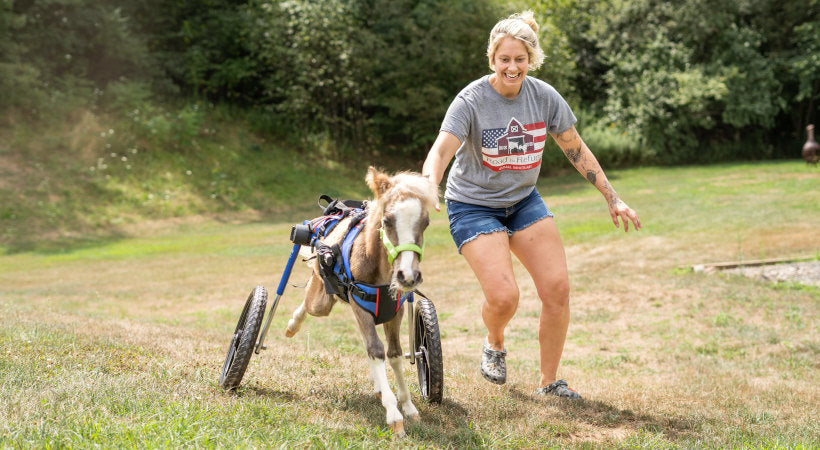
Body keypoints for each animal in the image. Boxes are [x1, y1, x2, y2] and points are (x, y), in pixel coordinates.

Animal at [286, 166, 438, 436]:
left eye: (426, 223)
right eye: (387, 221)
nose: (408, 276)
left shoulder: (395, 312)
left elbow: (394, 354)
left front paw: (407, 405)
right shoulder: (361, 307)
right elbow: (376, 351)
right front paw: (393, 413)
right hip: (321, 300)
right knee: (309, 304)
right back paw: (293, 324)